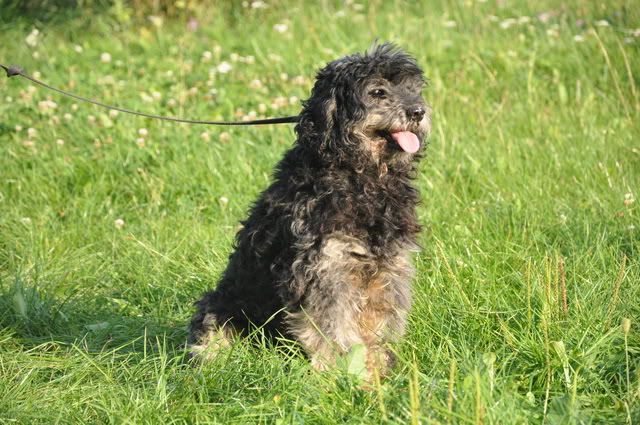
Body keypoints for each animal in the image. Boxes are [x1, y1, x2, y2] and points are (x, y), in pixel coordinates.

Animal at [189, 43, 431, 379]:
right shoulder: (325, 271)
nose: (418, 111)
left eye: (412, 89)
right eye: (378, 91)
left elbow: (376, 330)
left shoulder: (388, 270)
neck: (361, 179)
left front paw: (378, 371)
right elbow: (336, 333)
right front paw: (351, 377)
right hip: (219, 310)